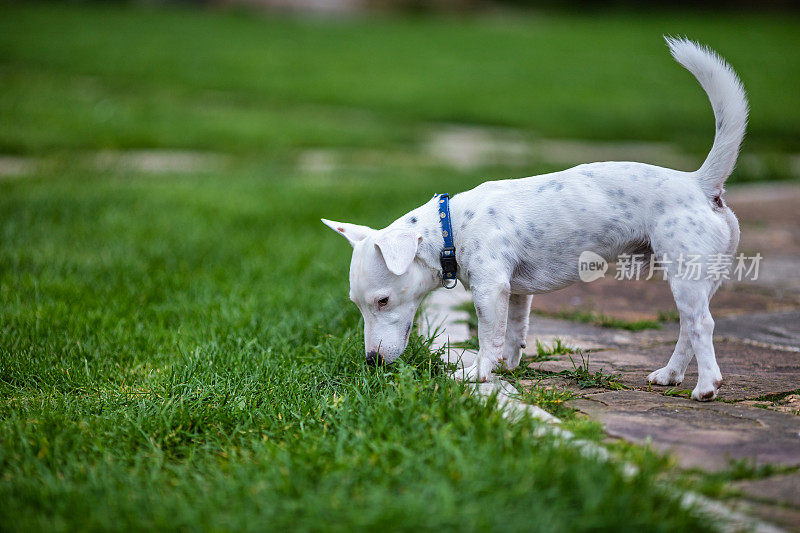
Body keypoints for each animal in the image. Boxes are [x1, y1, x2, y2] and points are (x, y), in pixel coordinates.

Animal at [322, 37, 748, 400]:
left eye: (382, 301)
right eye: (357, 304)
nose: (372, 362)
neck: (452, 227)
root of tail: (700, 183)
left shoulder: (490, 289)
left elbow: (488, 335)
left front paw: (479, 372)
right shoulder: (516, 292)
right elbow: (514, 331)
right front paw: (506, 367)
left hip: (684, 271)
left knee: (702, 326)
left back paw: (706, 387)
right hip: (701, 277)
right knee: (688, 327)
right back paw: (671, 375)